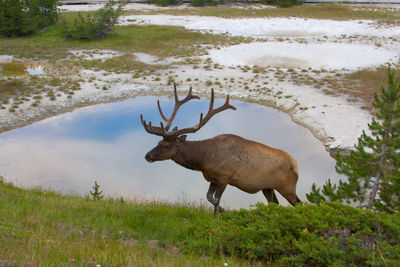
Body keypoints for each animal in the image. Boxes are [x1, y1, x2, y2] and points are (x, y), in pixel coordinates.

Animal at [141, 85, 300, 217]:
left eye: (167, 146)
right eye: (159, 142)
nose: (147, 155)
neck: (203, 160)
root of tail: (296, 164)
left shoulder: (224, 177)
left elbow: (216, 199)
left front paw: (217, 217)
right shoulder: (212, 178)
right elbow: (208, 197)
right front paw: (224, 211)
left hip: (287, 187)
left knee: (298, 203)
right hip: (267, 187)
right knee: (275, 203)